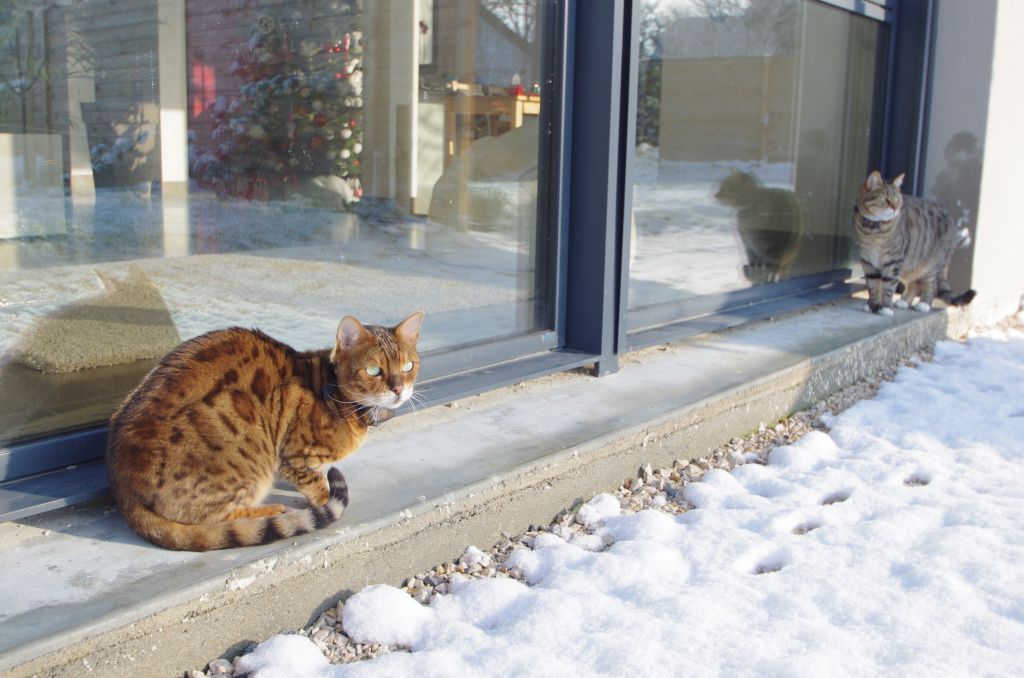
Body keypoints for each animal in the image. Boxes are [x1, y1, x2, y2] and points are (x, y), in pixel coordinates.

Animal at [104, 313, 423, 553]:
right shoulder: (293, 456)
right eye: (373, 370)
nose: (398, 389)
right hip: (248, 467)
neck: (336, 394)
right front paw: (321, 499)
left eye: (408, 366)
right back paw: (273, 512)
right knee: (218, 520)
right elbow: (316, 486)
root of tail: (126, 496)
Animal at [851, 173, 970, 315]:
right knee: (914, 284)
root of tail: (952, 222)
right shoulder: (867, 260)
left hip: (930, 264)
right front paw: (872, 305)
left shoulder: (893, 261)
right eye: (886, 200)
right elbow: (873, 285)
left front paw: (885, 307)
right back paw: (904, 301)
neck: (874, 230)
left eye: (898, 200)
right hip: (910, 265)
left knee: (931, 284)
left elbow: (888, 286)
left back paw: (924, 304)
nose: (896, 208)